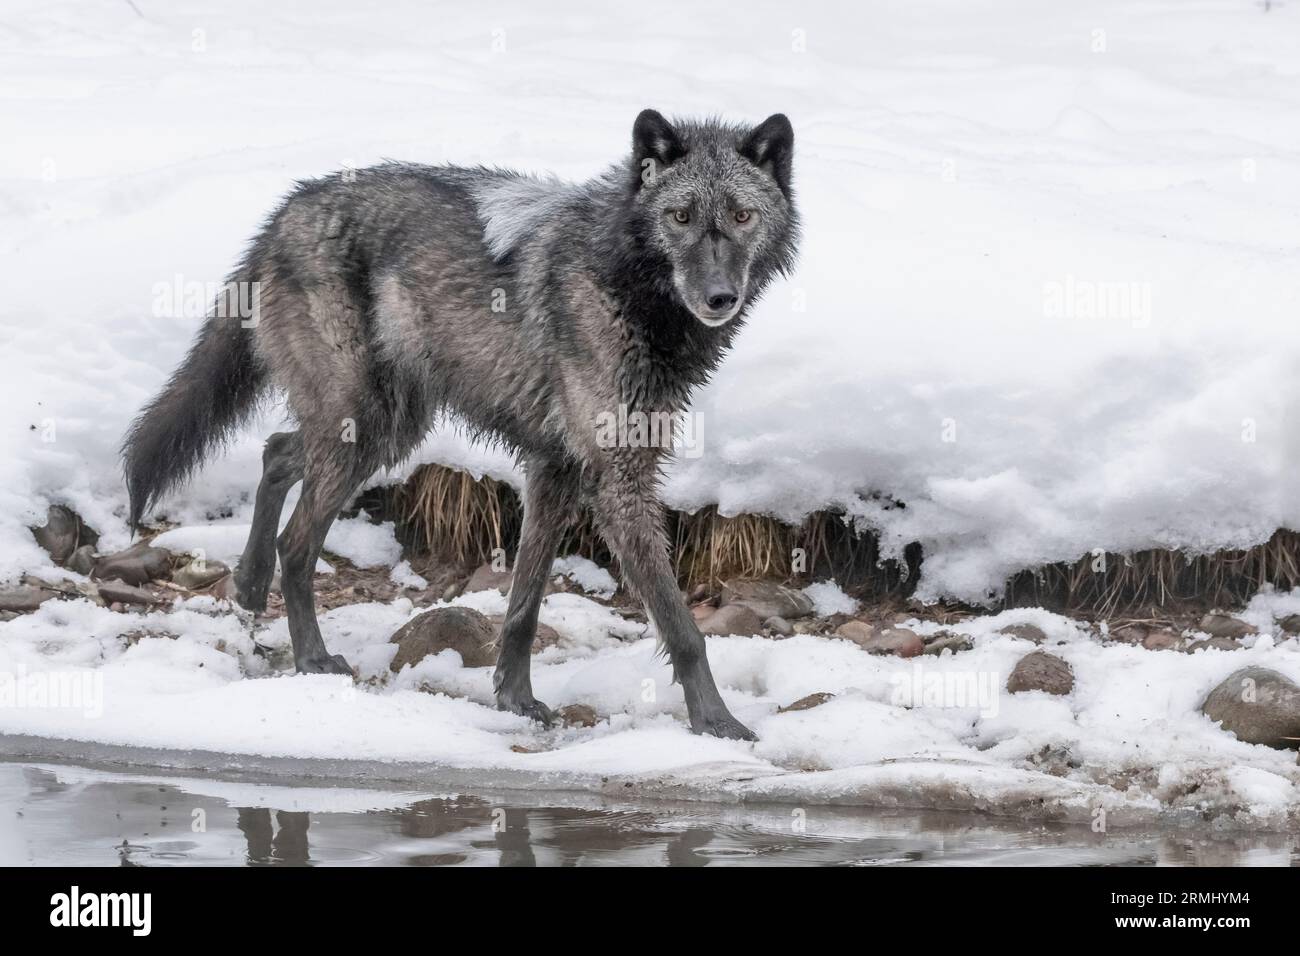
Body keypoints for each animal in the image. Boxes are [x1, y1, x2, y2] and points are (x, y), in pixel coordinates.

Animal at [122, 109, 799, 740]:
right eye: (681, 216)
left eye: (741, 216)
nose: (719, 296)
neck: (624, 282)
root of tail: (288, 209)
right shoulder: (615, 480)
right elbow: (682, 626)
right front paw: (716, 721)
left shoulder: (556, 469)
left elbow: (524, 603)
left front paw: (515, 699)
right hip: (365, 427)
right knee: (297, 539)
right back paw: (311, 657)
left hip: (384, 426)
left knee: (276, 451)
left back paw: (248, 587)